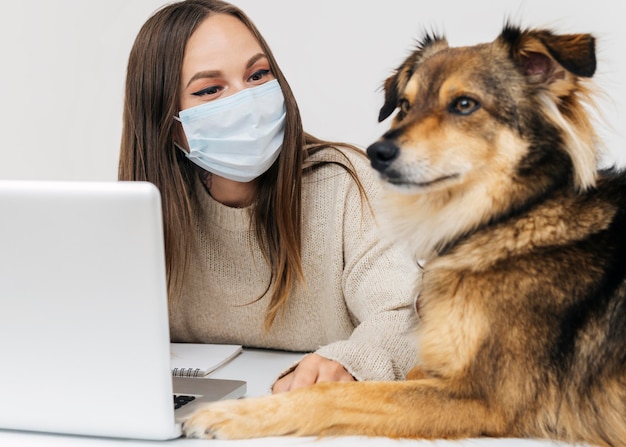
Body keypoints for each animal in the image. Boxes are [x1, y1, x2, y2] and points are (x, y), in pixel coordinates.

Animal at [178, 25, 620, 447]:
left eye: (465, 104)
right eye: (405, 106)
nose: (376, 153)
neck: (513, 217)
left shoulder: (488, 397)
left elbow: (337, 393)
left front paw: (230, 414)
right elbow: (410, 370)